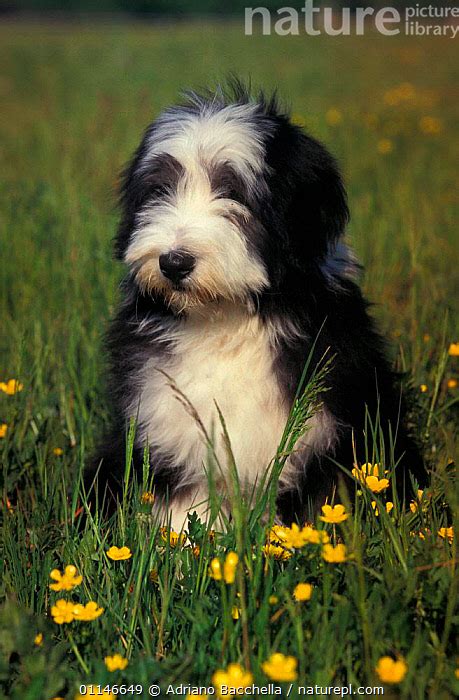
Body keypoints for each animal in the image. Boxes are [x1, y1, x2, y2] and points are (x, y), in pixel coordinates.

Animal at [85, 83, 424, 532]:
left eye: (233, 193)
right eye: (160, 190)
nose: (173, 262)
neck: (227, 320)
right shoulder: (168, 420)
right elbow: (185, 506)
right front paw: (182, 546)